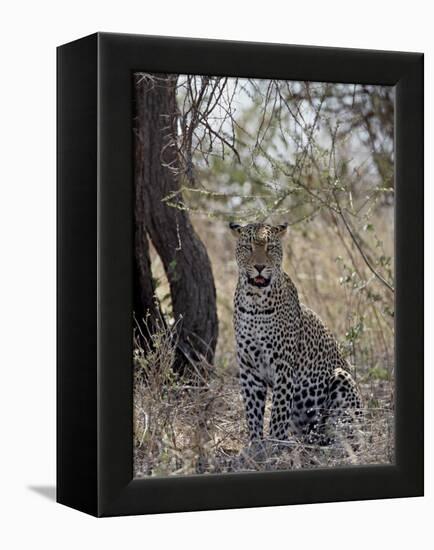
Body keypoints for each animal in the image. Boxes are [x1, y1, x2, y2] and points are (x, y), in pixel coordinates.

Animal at [231, 222, 362, 446]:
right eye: (248, 247)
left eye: (270, 247)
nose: (259, 266)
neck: (255, 302)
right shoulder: (248, 367)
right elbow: (253, 410)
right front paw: (255, 445)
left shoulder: (283, 365)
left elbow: (279, 411)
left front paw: (275, 445)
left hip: (341, 377)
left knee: (345, 430)